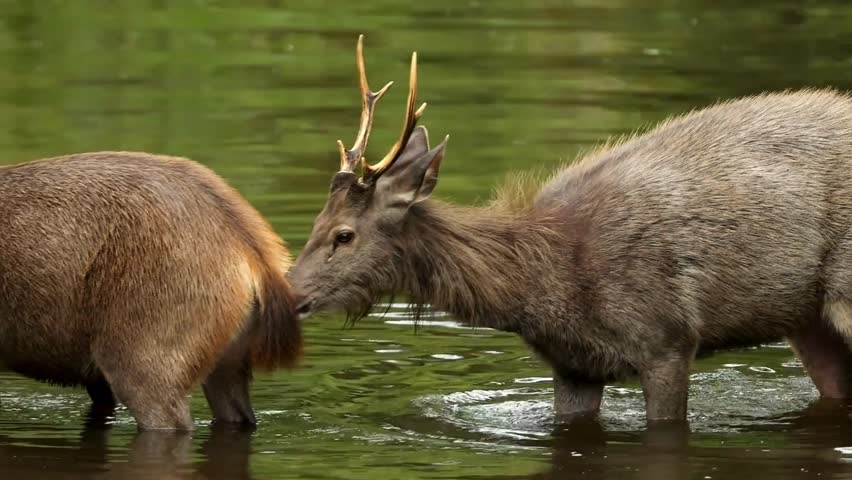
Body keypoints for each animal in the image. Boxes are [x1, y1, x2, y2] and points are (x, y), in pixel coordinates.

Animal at [288, 35, 852, 424]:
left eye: (344, 234)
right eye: (315, 222)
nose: (289, 294)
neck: (545, 282)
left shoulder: (667, 337)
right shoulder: (573, 365)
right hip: (806, 316)